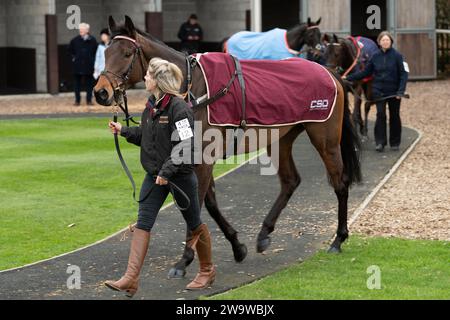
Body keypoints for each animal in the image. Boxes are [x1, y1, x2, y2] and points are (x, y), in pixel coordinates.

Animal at [95, 16, 362, 278]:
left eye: (127, 53)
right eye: (106, 52)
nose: (101, 92)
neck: (193, 89)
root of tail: (330, 73)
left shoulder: (203, 159)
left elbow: (195, 204)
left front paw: (184, 260)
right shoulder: (196, 160)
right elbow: (210, 203)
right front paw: (237, 246)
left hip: (325, 140)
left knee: (339, 182)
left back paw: (338, 239)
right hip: (281, 137)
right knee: (290, 181)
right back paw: (264, 234)